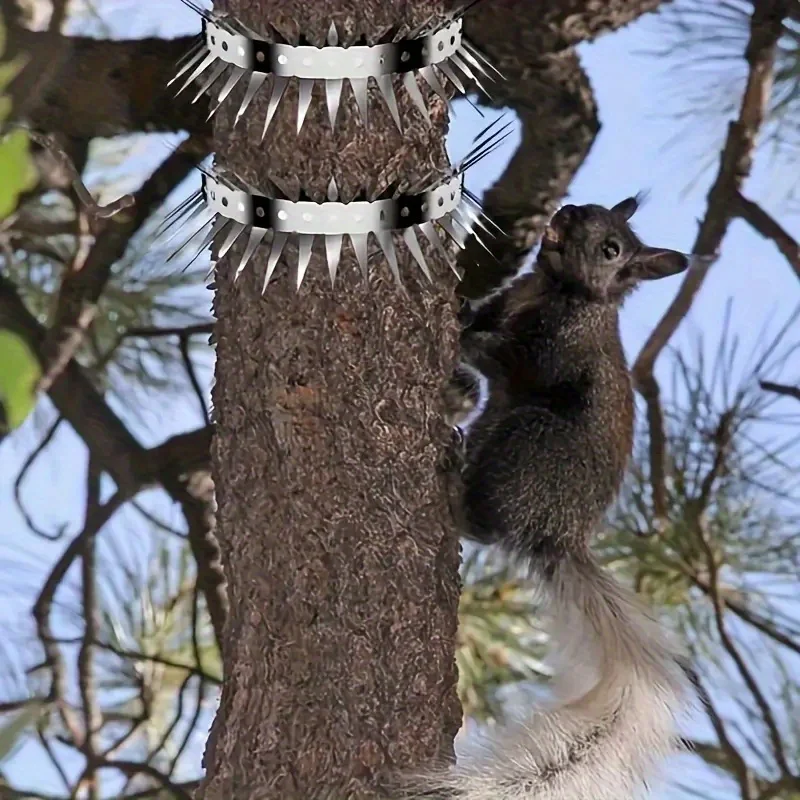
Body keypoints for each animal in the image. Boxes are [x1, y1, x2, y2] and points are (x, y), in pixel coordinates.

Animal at [410, 197, 695, 800]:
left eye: (612, 248)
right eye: (591, 206)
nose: (566, 212)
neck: (554, 288)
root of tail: (559, 534)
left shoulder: (552, 349)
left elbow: (505, 355)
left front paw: (459, 327)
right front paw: (462, 311)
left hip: (531, 443)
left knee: (485, 523)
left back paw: (453, 482)